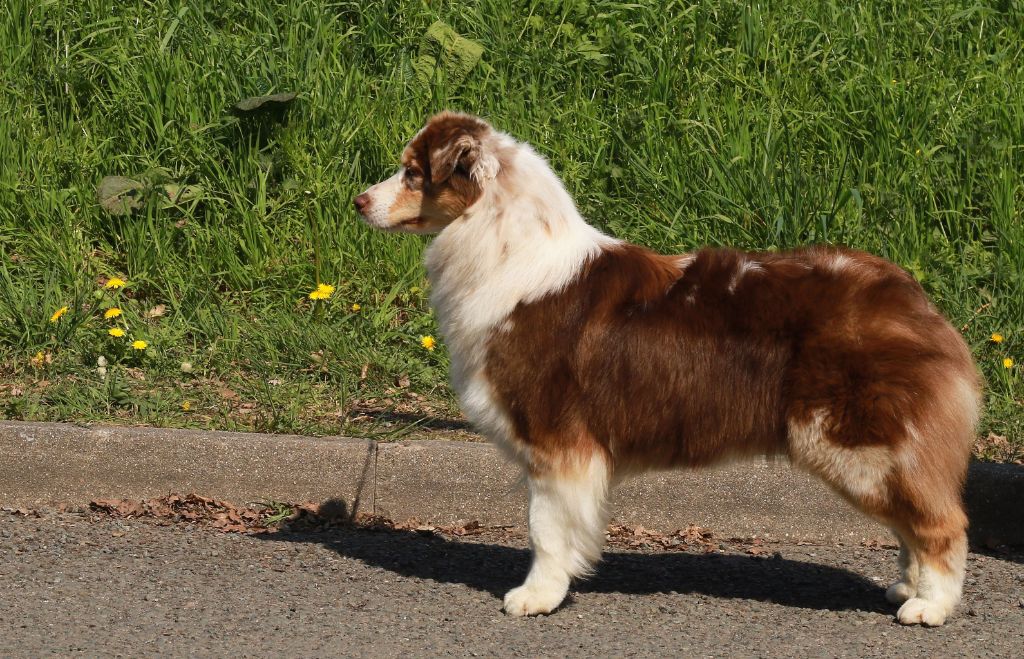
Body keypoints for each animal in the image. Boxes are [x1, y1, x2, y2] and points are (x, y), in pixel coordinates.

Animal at [354, 110, 983, 626]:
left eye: (413, 173)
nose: (358, 201)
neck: (502, 245)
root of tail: (910, 297)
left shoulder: (558, 441)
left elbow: (545, 528)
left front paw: (537, 596)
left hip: (855, 443)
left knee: (942, 522)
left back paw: (930, 606)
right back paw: (907, 589)